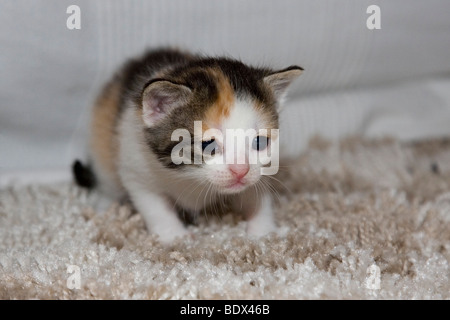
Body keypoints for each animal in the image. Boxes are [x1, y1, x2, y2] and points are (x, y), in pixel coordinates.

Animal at [74, 48, 302, 242]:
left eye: (260, 142)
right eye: (208, 145)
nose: (240, 170)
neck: (189, 176)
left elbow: (256, 192)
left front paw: (264, 231)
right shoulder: (135, 164)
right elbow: (154, 206)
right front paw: (174, 237)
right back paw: (105, 206)